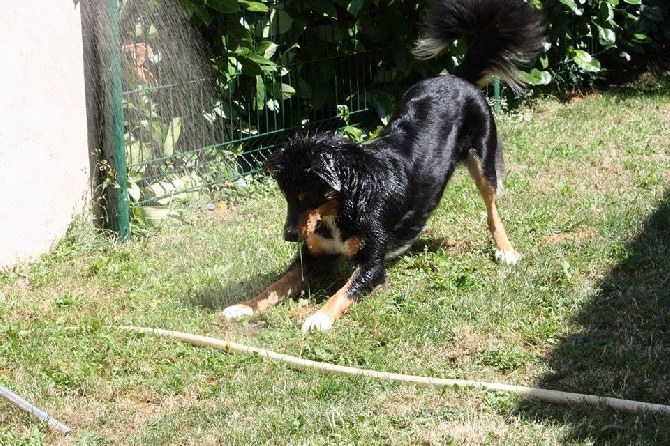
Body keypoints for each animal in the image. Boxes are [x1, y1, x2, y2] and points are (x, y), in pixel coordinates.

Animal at [223, 0, 548, 332]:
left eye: (306, 195)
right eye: (287, 197)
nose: (288, 236)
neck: (346, 202)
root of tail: (456, 77)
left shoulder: (372, 264)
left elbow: (343, 293)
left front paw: (318, 318)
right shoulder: (315, 257)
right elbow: (276, 285)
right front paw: (244, 307)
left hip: (483, 159)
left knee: (492, 209)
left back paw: (505, 250)